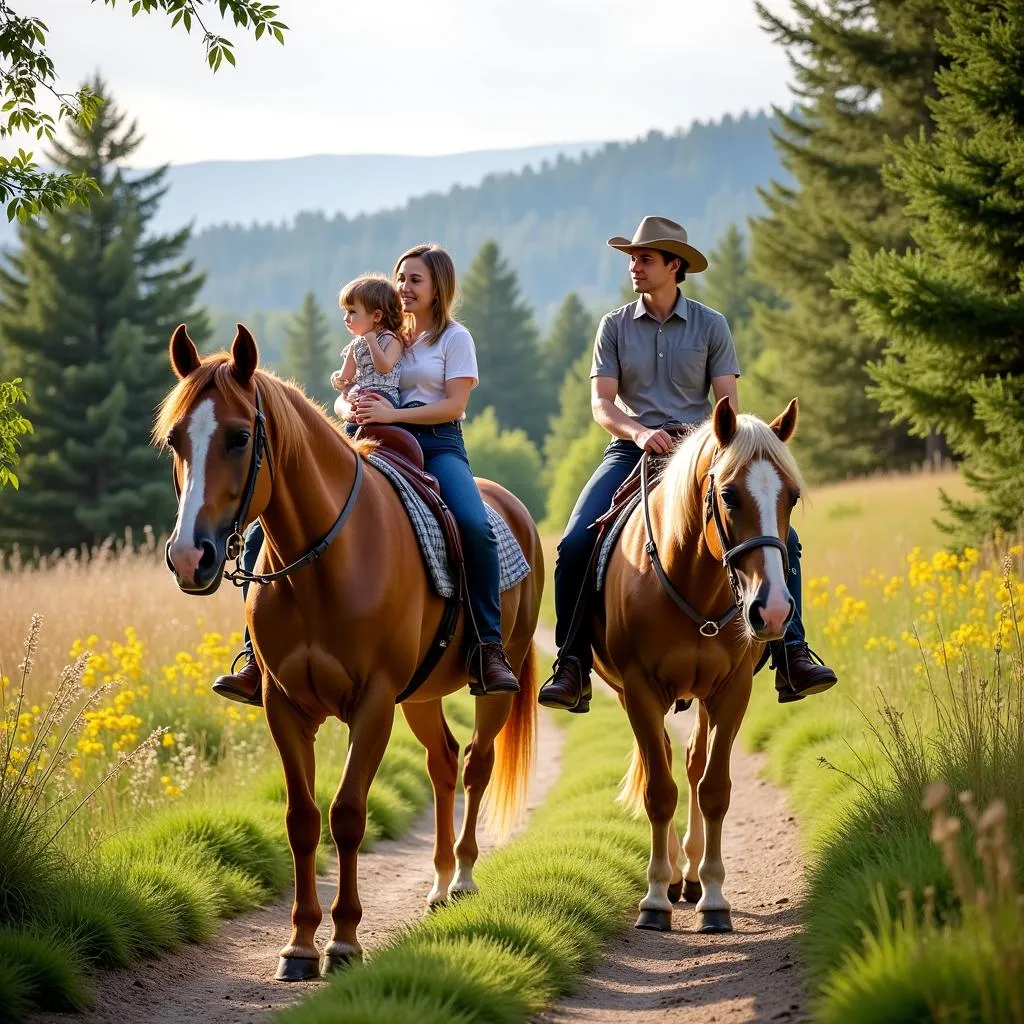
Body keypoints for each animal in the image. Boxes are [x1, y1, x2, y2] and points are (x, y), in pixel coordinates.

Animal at [155, 323, 540, 978]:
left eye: (238, 436)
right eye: (176, 439)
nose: (189, 556)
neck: (325, 560)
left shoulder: (374, 703)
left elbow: (348, 814)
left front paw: (343, 940)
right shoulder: (284, 705)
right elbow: (303, 820)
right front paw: (299, 944)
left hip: (491, 689)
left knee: (476, 764)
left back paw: (463, 877)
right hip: (422, 695)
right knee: (443, 762)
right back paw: (439, 884)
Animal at [598, 397, 802, 937]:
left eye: (793, 498)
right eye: (728, 496)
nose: (774, 611)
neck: (693, 579)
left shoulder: (731, 691)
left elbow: (713, 789)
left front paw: (713, 896)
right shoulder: (638, 689)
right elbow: (659, 791)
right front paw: (654, 899)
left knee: (691, 761)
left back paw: (688, 876)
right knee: (663, 765)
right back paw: (672, 877)